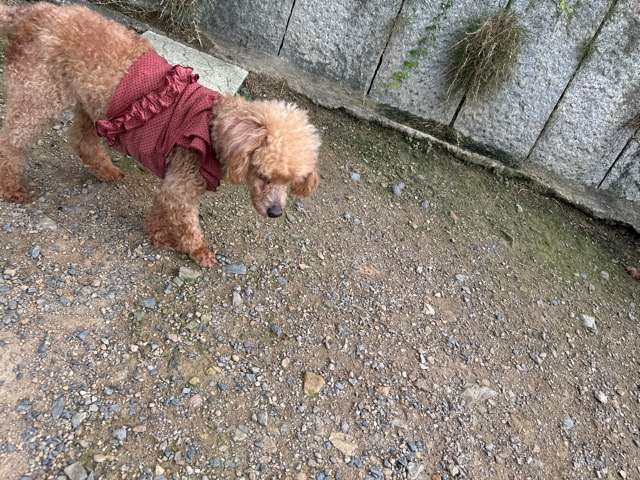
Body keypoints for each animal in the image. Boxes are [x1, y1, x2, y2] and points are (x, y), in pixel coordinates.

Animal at [0, 2, 320, 267]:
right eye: (263, 176)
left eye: (290, 182)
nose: (276, 212)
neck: (212, 127)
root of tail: (34, 12)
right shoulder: (183, 184)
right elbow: (187, 224)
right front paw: (199, 252)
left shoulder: (174, 181)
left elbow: (160, 208)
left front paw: (156, 235)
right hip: (40, 94)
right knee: (13, 140)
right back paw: (11, 187)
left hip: (91, 103)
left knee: (81, 139)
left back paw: (106, 171)